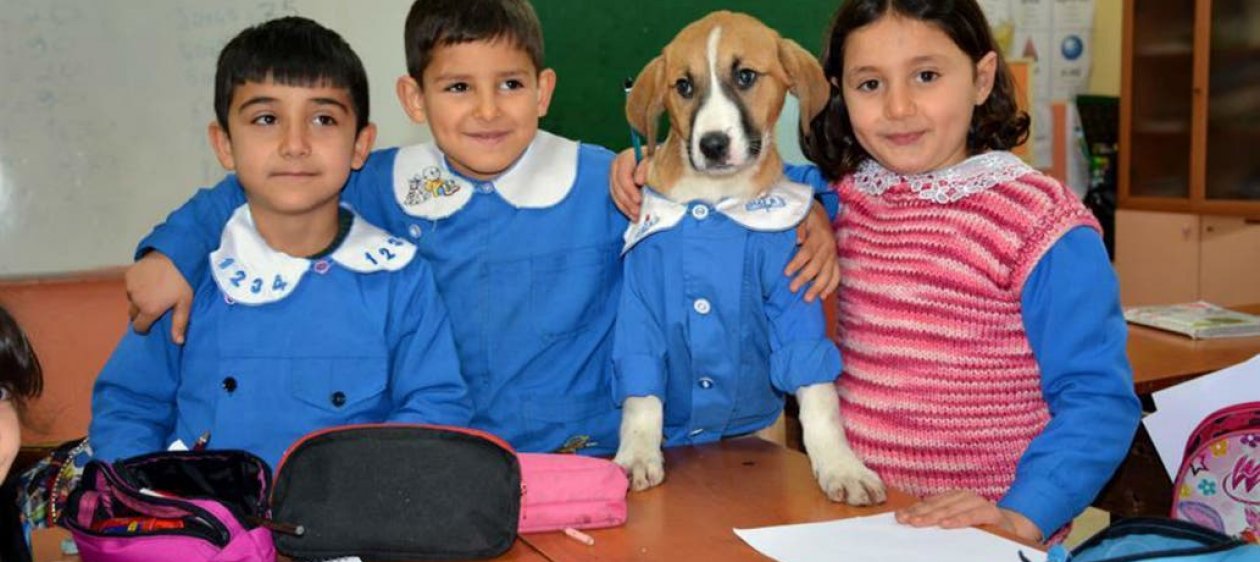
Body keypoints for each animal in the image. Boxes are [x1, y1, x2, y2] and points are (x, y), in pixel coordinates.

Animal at [612, 10, 887, 506]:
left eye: (745, 77)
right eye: (683, 86)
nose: (712, 144)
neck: (713, 201)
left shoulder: (794, 296)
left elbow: (819, 395)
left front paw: (841, 466)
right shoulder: (640, 302)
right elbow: (641, 396)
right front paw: (637, 454)